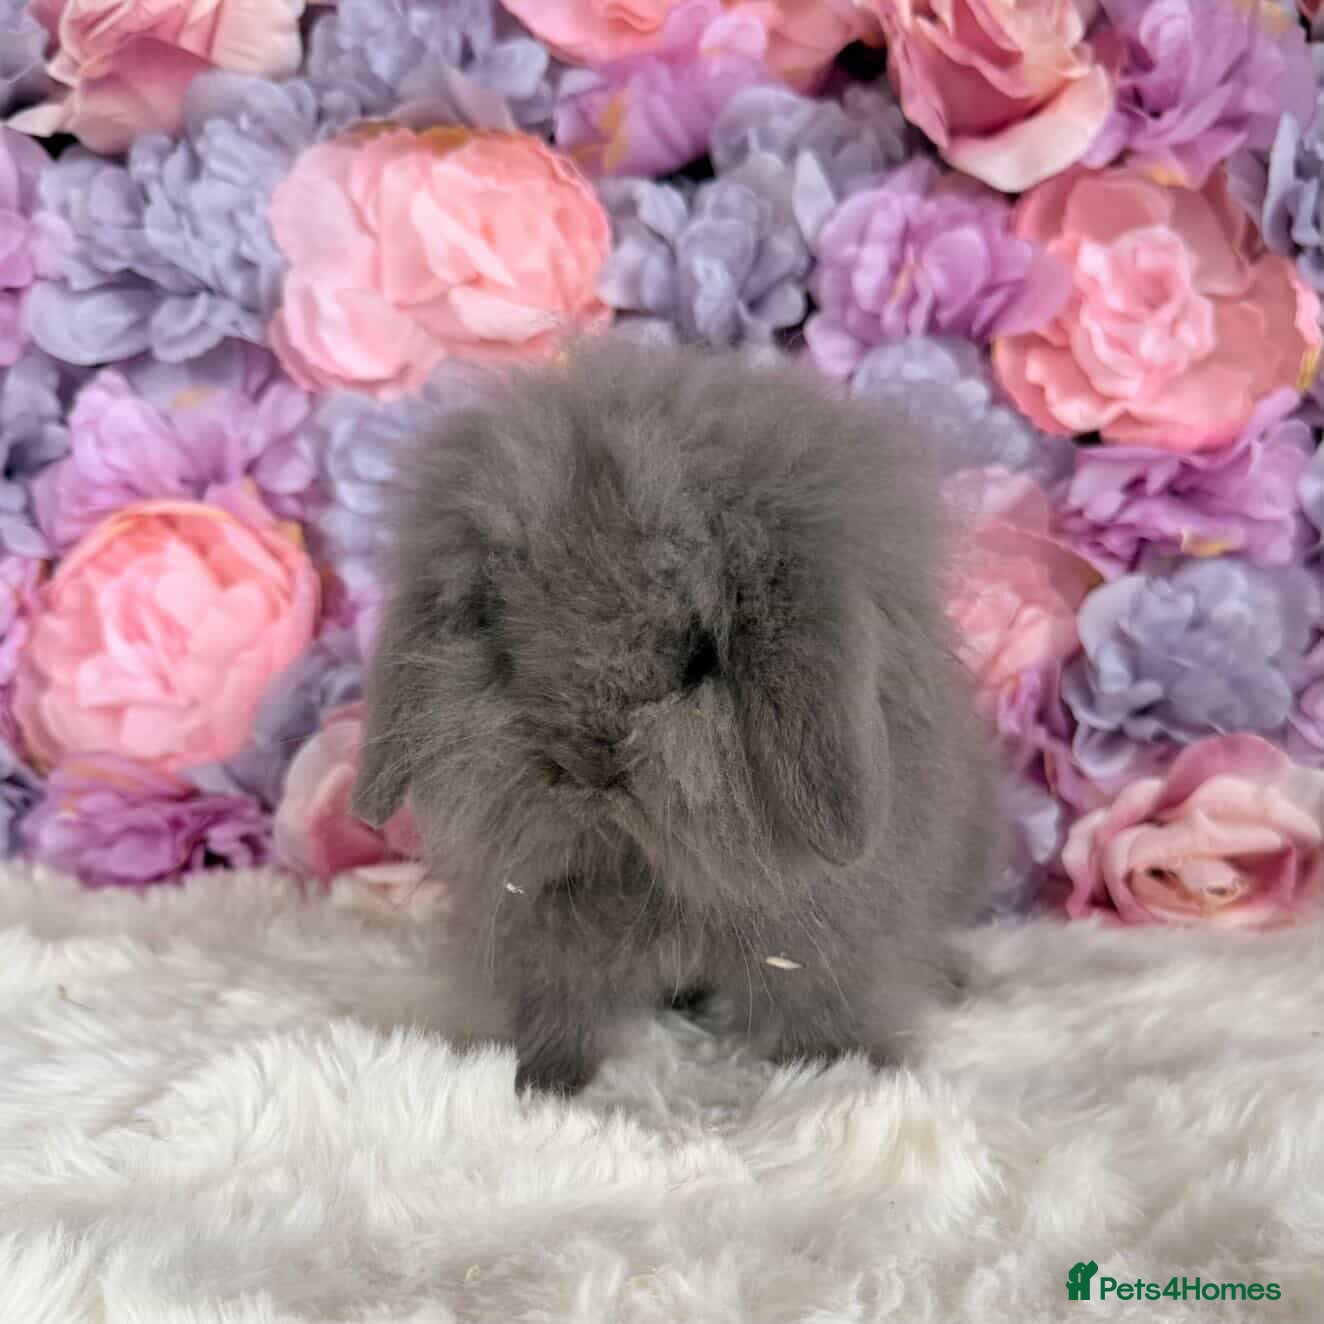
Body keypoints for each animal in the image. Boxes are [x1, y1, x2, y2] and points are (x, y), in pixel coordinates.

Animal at [351, 336, 1001, 1096]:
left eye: (698, 657)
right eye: (507, 648)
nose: (588, 764)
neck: (649, 870)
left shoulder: (830, 944)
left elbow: (824, 1008)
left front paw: (836, 1072)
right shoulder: (543, 936)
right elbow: (557, 1012)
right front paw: (541, 1083)